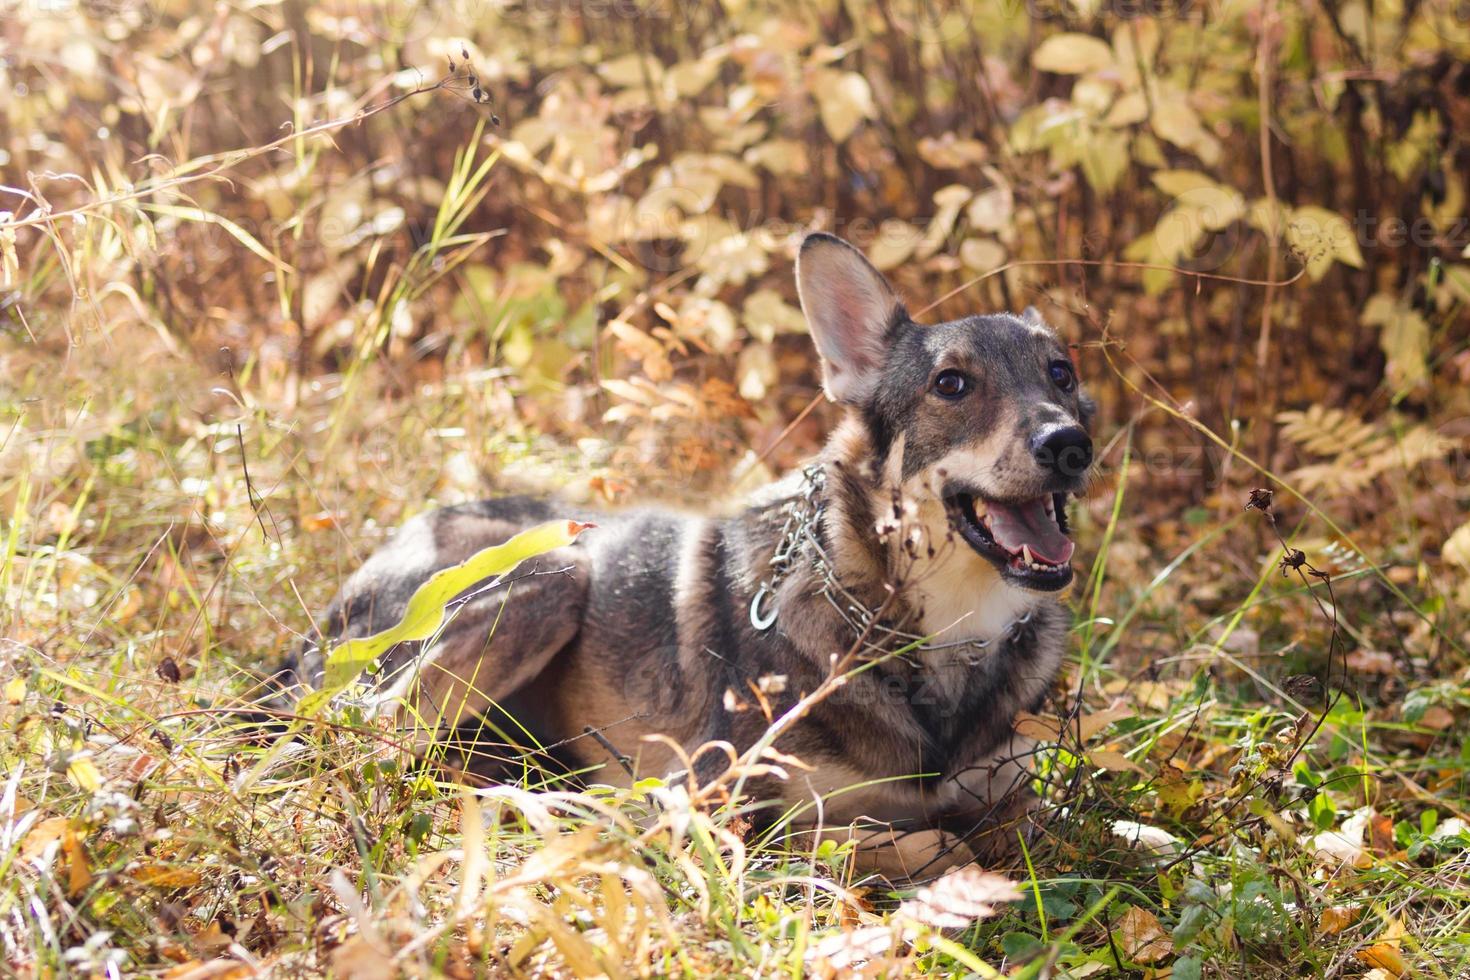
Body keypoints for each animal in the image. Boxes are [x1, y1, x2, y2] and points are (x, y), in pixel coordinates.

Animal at [273, 233, 1093, 875]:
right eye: (951, 384)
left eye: (1062, 374)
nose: (1070, 445)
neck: (943, 635)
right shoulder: (714, 808)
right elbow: (928, 846)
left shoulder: (1012, 788)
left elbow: (1046, 825)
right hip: (551, 576)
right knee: (369, 739)